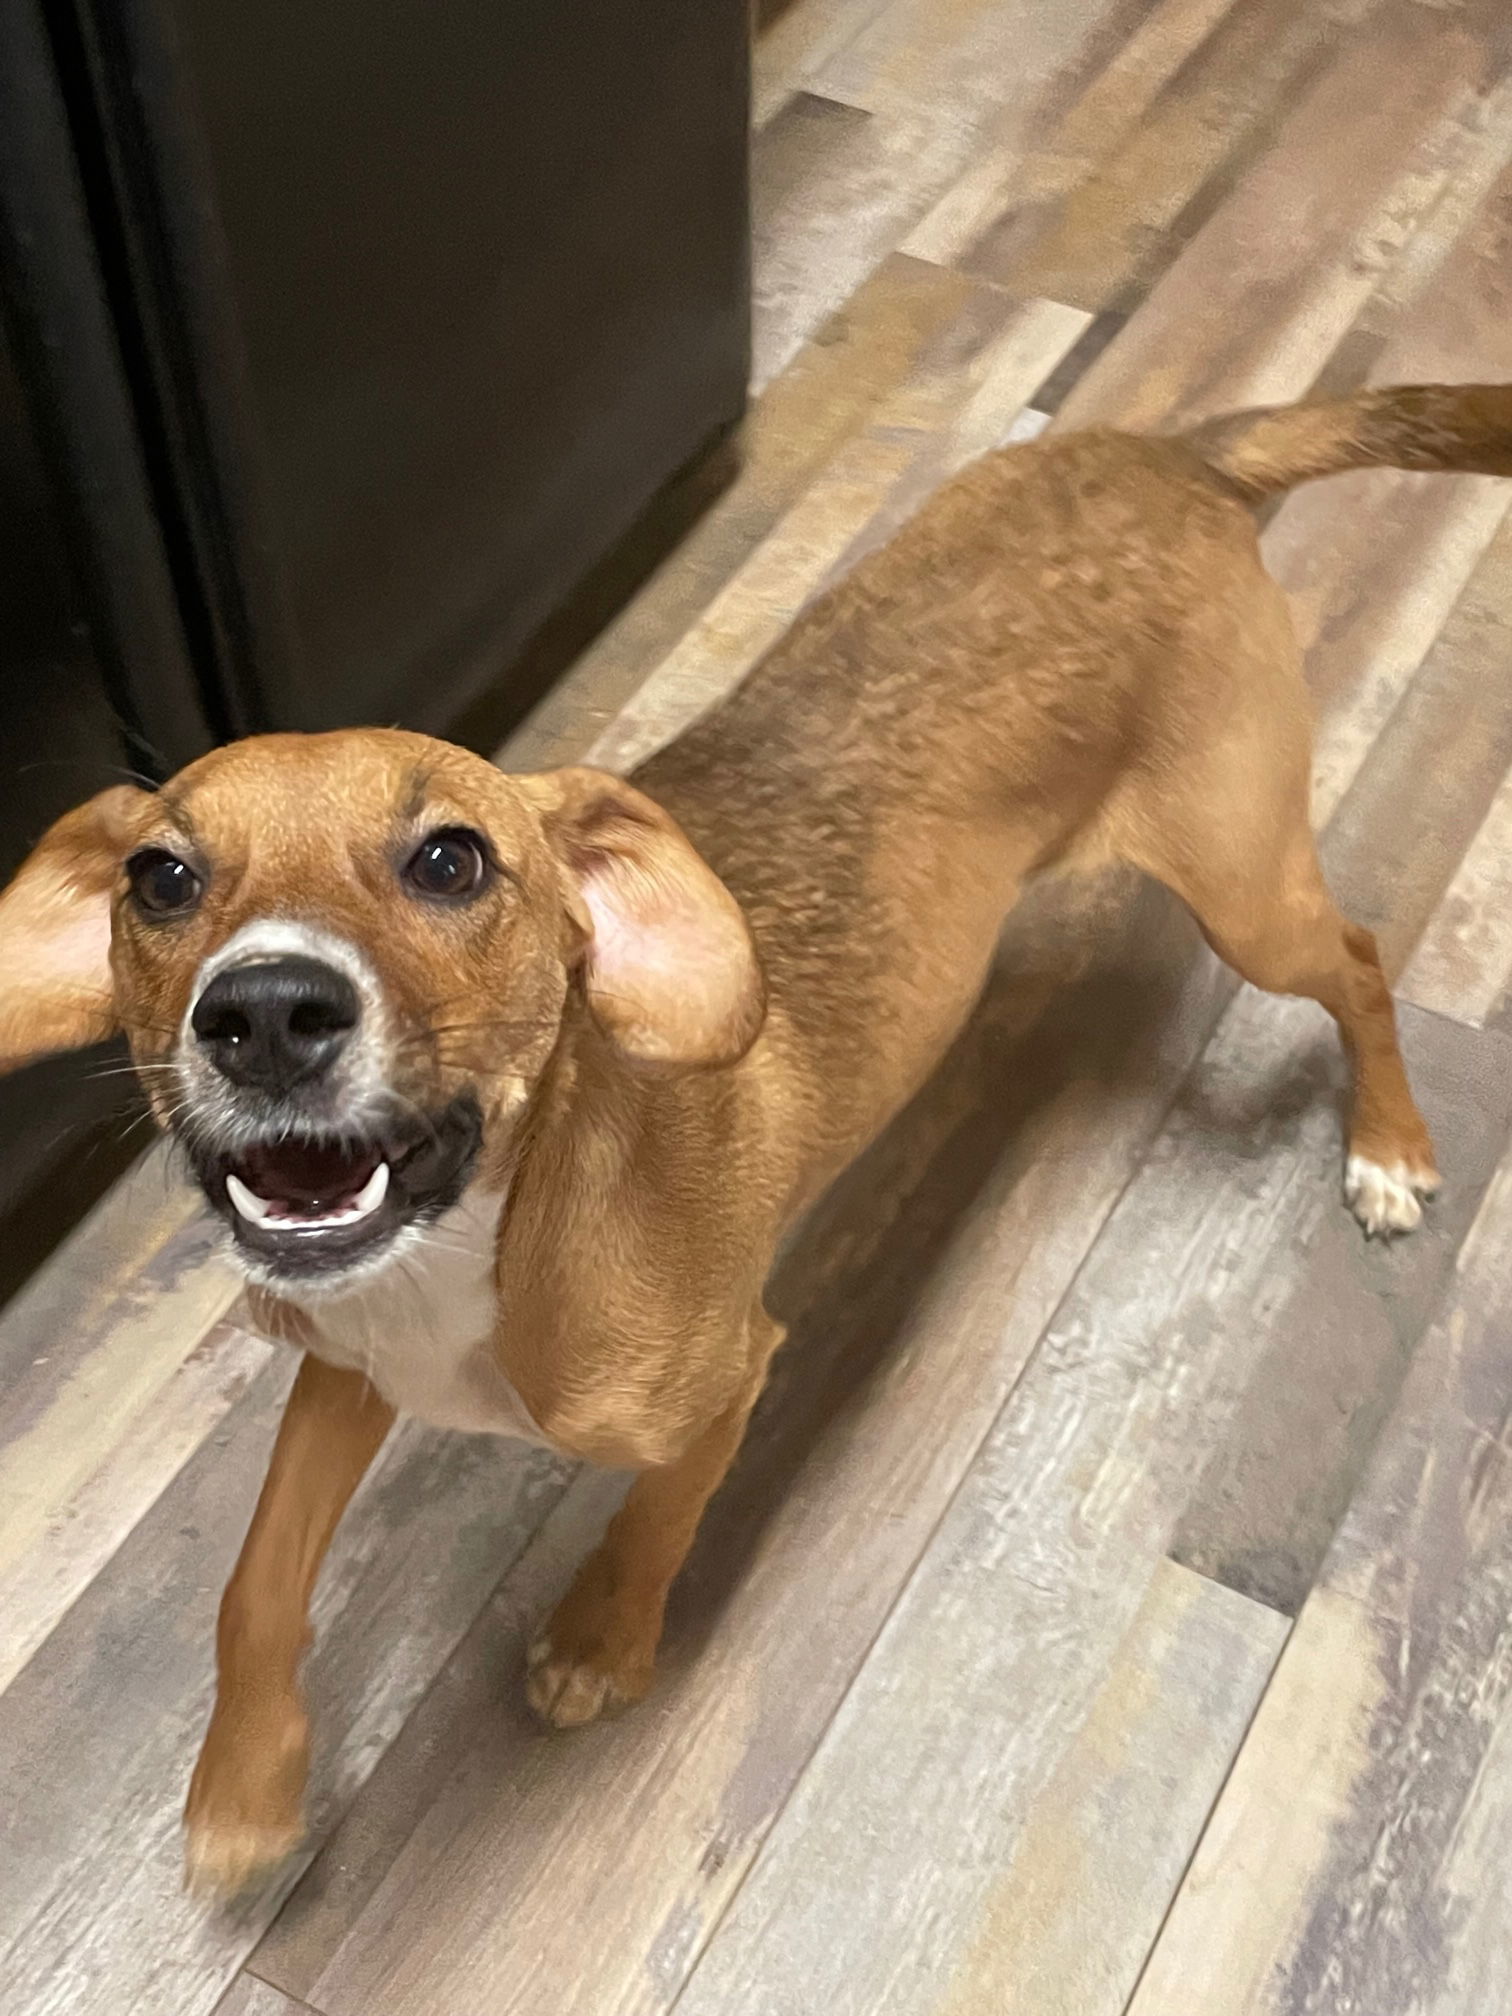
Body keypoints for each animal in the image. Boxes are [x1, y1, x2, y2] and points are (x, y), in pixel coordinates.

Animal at [2, 381, 1512, 1886]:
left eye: (452, 861)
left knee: (1361, 962)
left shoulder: (725, 1379)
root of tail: (1181, 453)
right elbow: (254, 1581)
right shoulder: (345, 1366)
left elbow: (655, 1512)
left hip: (1244, 886)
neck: (492, 1232)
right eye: (159, 877)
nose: (261, 1013)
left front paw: (601, 1643)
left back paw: (1388, 1148)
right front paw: (246, 1787)